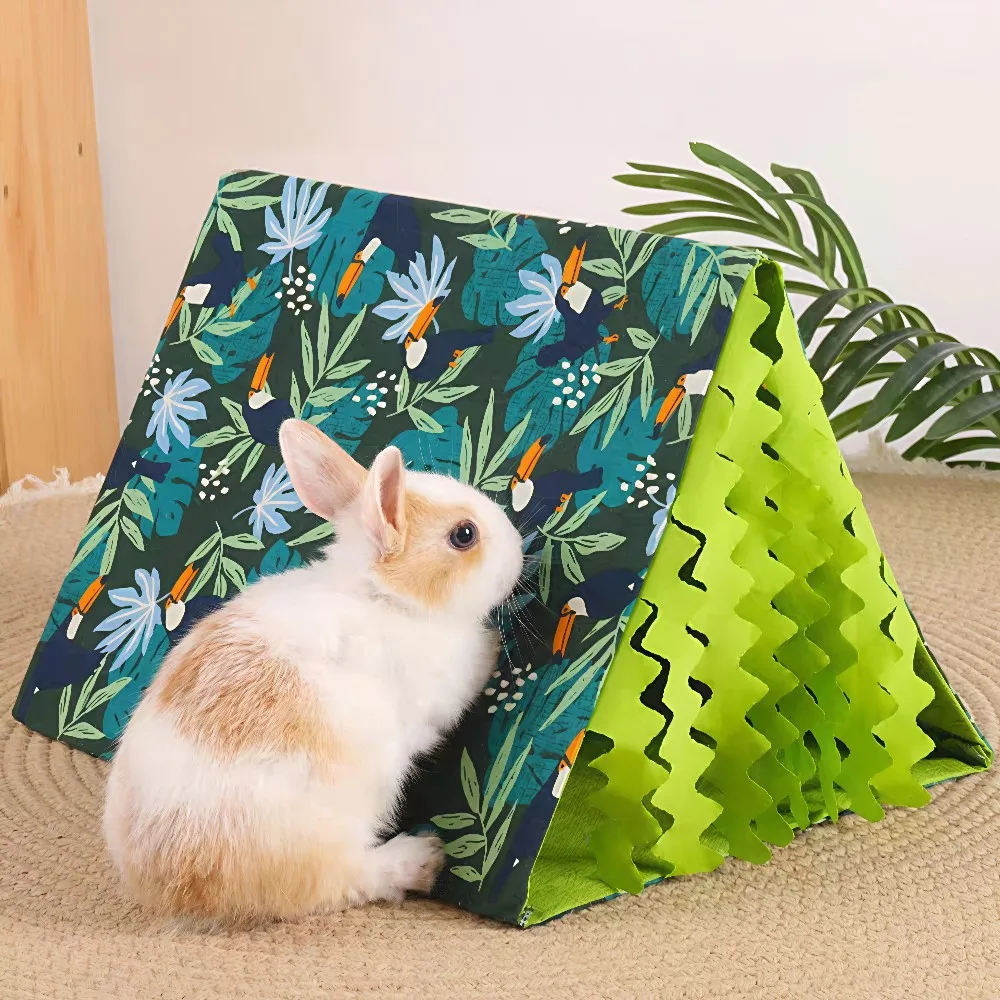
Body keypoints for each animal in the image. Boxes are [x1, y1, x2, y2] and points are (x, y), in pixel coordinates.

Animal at [103, 418, 524, 926]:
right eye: (464, 535)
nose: (520, 548)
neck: (384, 598)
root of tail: (169, 885)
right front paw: (496, 645)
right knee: (342, 881)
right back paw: (422, 859)